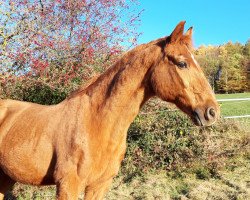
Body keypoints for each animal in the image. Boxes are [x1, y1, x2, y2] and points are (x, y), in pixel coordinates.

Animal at [0, 21, 219, 199]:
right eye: (182, 63)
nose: (212, 112)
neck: (96, 122)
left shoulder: (100, 185)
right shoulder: (68, 186)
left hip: (6, 177)